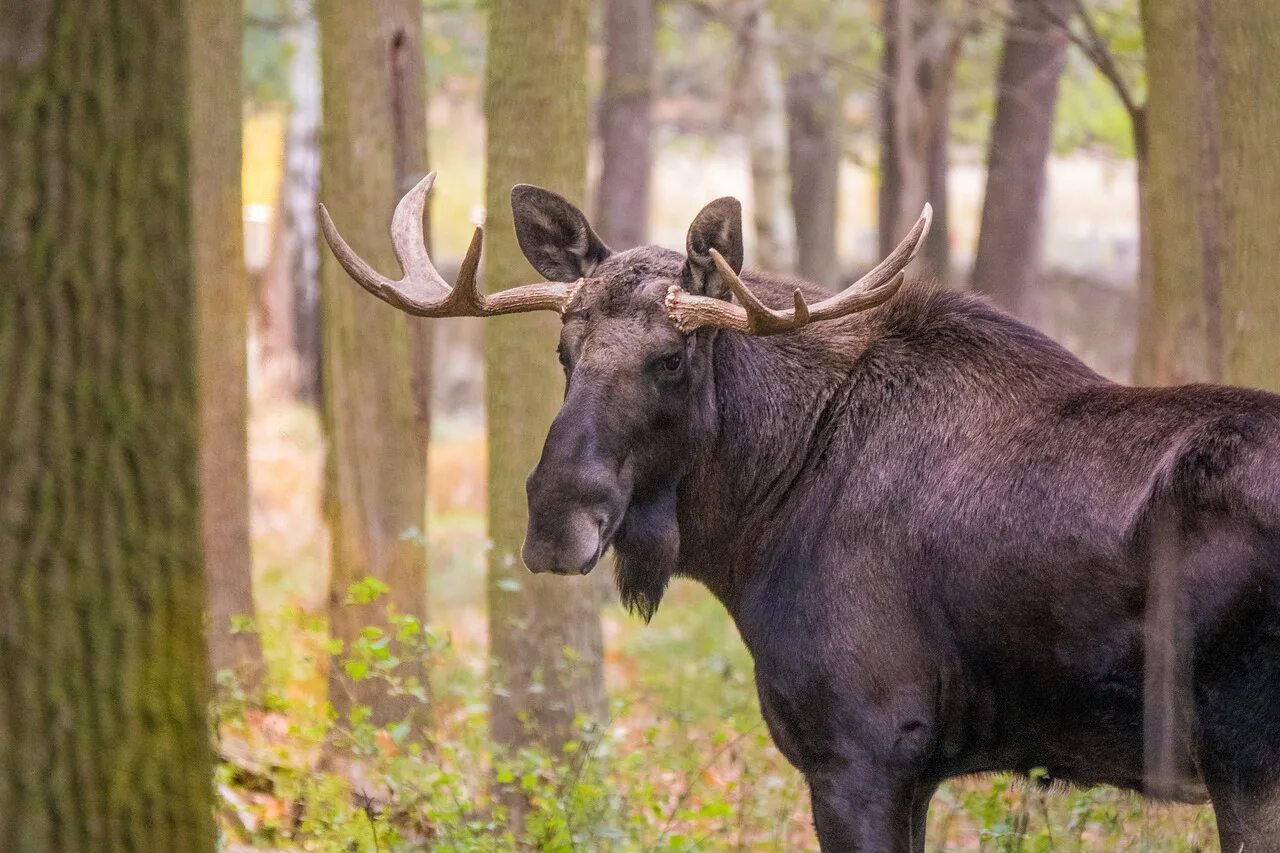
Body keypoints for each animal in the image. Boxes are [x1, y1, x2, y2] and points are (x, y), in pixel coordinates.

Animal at [322, 174, 1280, 850]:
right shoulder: (907, 769)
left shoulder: (863, 750)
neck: (755, 526)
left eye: (674, 358)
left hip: (1244, 752)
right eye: (565, 350)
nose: (557, 521)